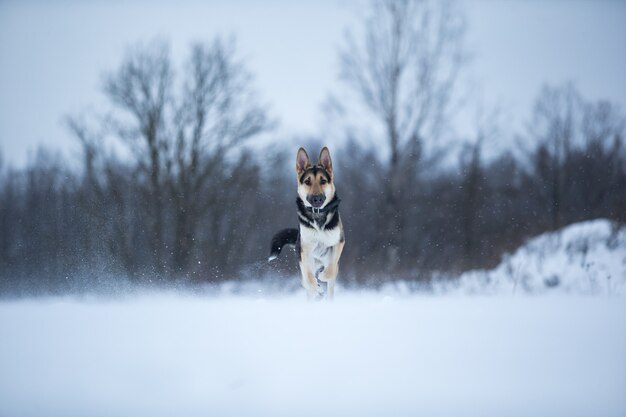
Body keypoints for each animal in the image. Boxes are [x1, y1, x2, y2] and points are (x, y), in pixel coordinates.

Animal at [268, 146, 346, 300]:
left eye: (323, 181)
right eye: (308, 182)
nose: (317, 199)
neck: (318, 214)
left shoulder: (338, 243)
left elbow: (330, 270)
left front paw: (323, 277)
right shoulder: (306, 251)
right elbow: (309, 278)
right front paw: (316, 288)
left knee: (330, 282)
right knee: (307, 280)